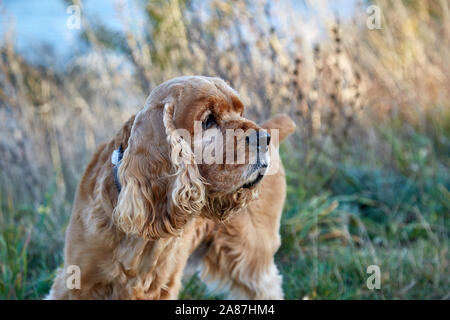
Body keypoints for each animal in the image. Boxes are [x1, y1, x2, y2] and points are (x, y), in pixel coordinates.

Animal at [47, 75, 296, 300]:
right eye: (208, 121)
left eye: (241, 113)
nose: (263, 138)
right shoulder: (76, 280)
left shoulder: (157, 288)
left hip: (252, 255)